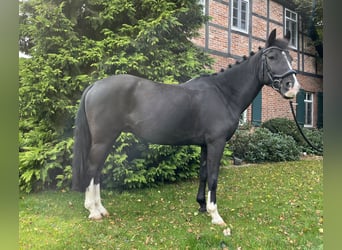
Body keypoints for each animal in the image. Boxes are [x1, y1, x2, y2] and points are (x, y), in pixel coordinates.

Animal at [72, 29, 300, 225]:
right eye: (272, 57)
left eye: (290, 58)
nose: (293, 87)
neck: (223, 93)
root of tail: (95, 85)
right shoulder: (216, 143)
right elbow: (214, 177)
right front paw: (215, 215)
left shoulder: (205, 144)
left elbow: (203, 174)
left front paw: (202, 206)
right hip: (103, 139)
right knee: (92, 169)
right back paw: (93, 210)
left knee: (97, 170)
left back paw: (101, 209)